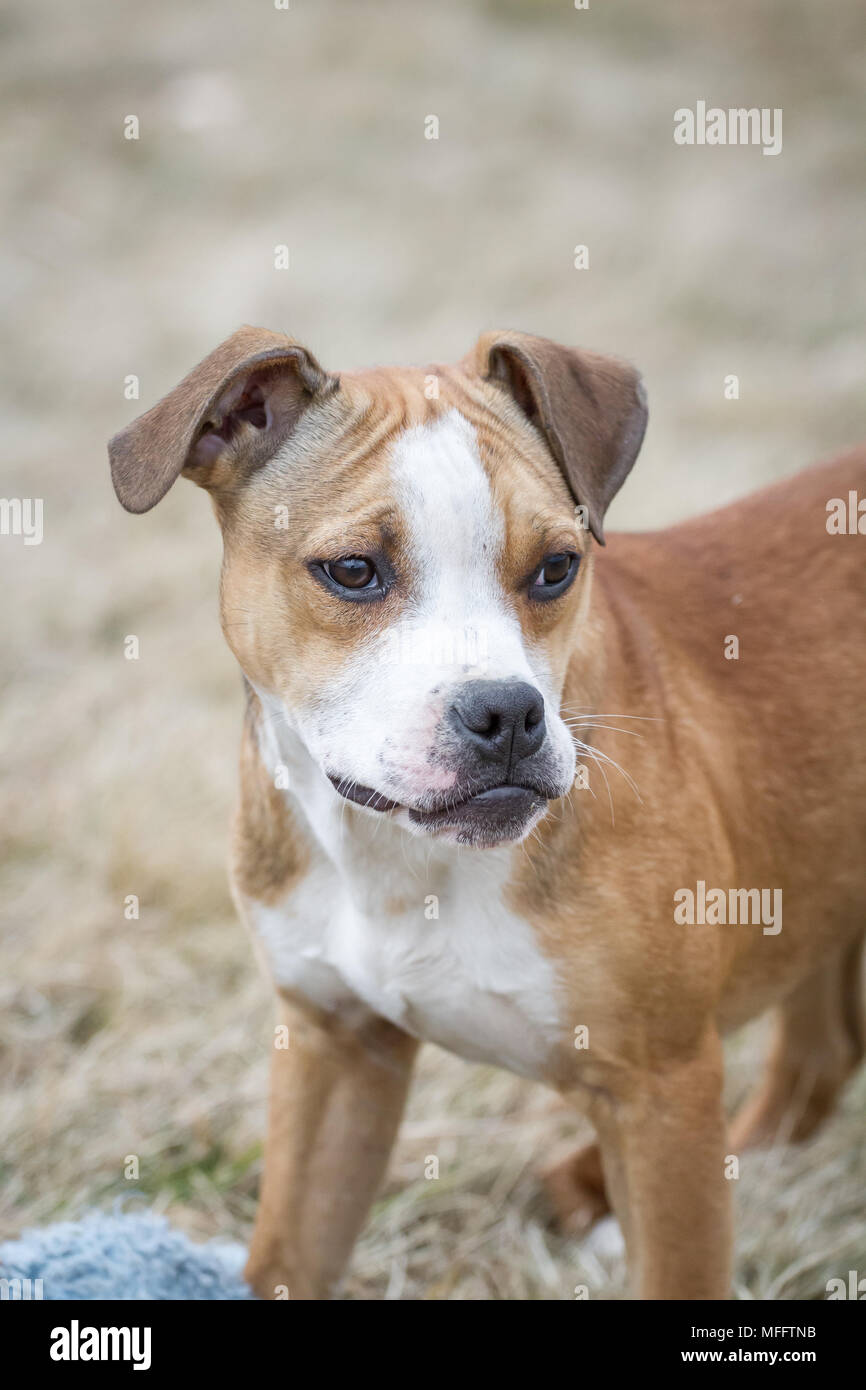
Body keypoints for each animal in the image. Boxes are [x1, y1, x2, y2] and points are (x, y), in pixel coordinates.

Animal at [108, 328, 866, 1301]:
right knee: (820, 1057)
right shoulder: (335, 1052)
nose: (505, 713)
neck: (399, 857)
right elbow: (286, 1256)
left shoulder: (661, 1089)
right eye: (353, 572)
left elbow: (681, 1265)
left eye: (557, 569)